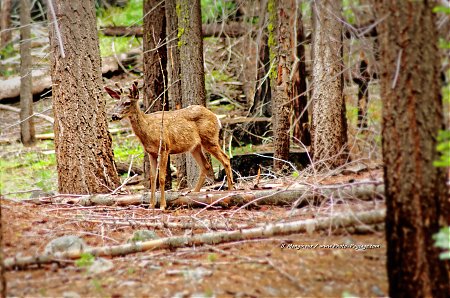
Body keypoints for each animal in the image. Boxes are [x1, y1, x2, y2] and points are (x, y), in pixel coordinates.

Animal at [104, 81, 234, 210]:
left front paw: (162, 205)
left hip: (209, 139)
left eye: (127, 102)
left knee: (226, 159)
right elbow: (153, 178)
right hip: (194, 146)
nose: (114, 116)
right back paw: (195, 194)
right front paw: (151, 205)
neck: (148, 130)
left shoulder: (164, 148)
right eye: (116, 103)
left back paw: (230, 191)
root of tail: (216, 117)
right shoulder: (151, 152)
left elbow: (161, 178)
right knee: (206, 165)